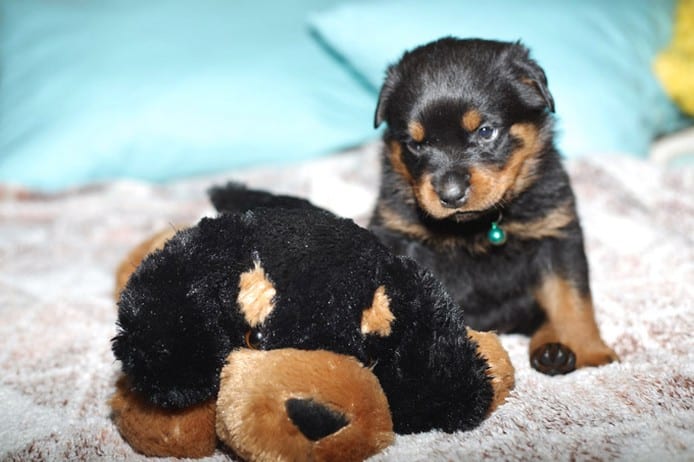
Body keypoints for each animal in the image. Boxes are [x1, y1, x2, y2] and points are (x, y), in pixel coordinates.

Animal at [370, 37, 620, 376]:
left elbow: (572, 299)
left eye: (486, 131)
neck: (480, 224)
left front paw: (589, 351)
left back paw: (554, 351)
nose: (450, 194)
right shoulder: (399, 237)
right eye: (415, 144)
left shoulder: (556, 234)